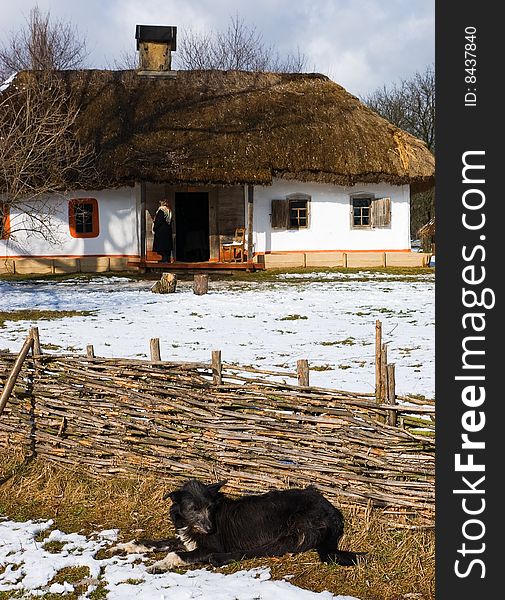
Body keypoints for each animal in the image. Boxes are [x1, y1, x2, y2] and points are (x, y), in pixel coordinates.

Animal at [118, 478, 362, 572]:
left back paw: (220, 559)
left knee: (265, 550)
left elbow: (175, 554)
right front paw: (129, 545)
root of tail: (332, 510)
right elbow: (156, 543)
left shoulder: (209, 545)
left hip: (295, 529)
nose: (210, 529)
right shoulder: (185, 538)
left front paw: (158, 564)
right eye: (194, 508)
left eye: (209, 507)